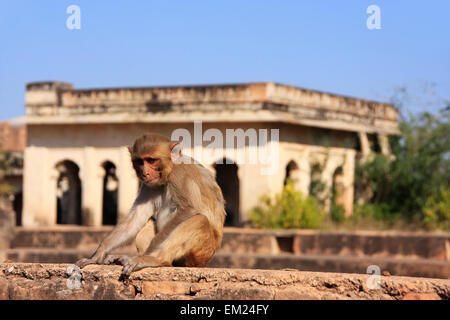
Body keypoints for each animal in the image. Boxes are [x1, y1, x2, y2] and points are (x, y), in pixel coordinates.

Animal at [76, 132, 229, 276]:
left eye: (151, 160)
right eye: (139, 161)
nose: (145, 173)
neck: (169, 172)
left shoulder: (181, 173)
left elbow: (189, 209)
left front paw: (144, 256)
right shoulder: (148, 185)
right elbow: (135, 218)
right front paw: (98, 254)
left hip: (201, 253)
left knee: (198, 220)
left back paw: (155, 259)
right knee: (149, 221)